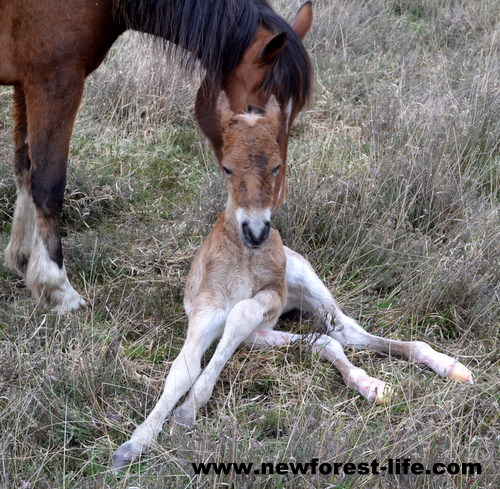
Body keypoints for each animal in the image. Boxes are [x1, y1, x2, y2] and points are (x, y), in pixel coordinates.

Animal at [0, 0, 312, 308]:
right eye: (250, 109)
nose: (275, 200)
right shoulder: (54, 82)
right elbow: (48, 183)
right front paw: (56, 287)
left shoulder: (26, 84)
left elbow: (25, 169)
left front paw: (23, 259)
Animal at [110, 91, 472, 468]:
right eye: (226, 167)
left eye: (277, 166)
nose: (257, 232)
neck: (243, 261)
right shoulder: (206, 312)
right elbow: (183, 368)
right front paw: (134, 445)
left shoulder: (269, 295)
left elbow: (240, 315)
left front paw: (185, 413)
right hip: (260, 336)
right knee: (326, 340)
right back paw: (372, 385)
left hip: (305, 283)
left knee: (346, 331)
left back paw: (447, 367)